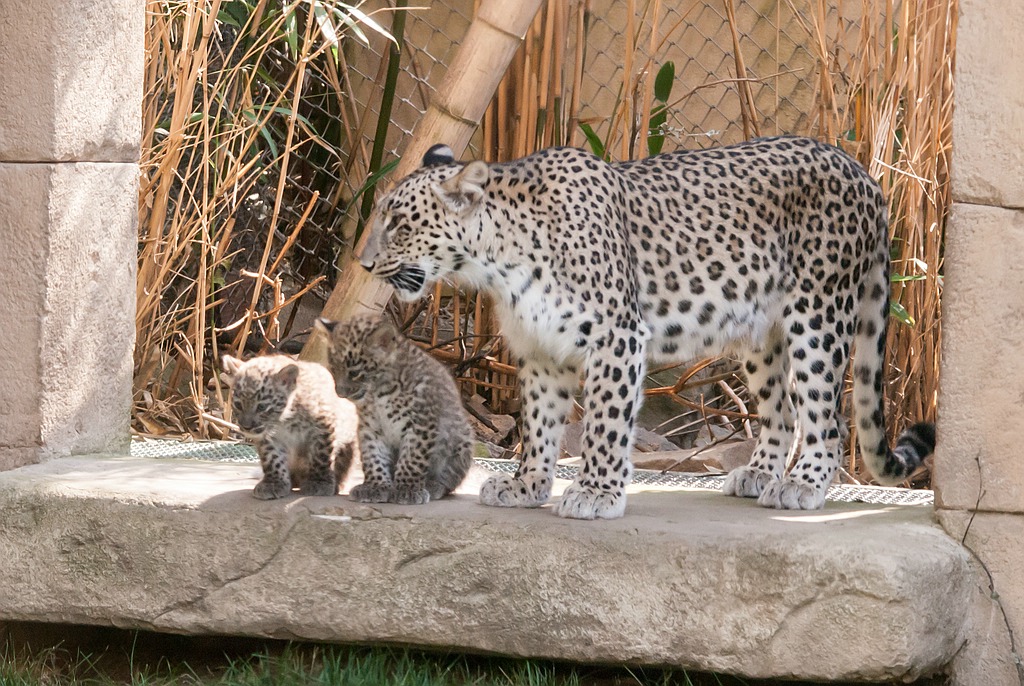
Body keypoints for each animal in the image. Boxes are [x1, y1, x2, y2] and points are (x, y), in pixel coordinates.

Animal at [221, 354, 359, 499]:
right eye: (238, 404)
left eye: (262, 407)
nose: (246, 427)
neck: (285, 421)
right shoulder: (269, 439)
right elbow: (272, 459)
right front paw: (274, 483)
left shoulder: (323, 429)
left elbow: (320, 456)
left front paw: (319, 482)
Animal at [314, 314, 473, 505]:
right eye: (333, 370)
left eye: (354, 373)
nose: (340, 393)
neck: (377, 393)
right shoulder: (370, 427)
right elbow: (373, 456)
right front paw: (375, 486)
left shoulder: (421, 423)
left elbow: (412, 458)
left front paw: (407, 489)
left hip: (463, 441)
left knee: (450, 480)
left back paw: (432, 485)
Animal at [357, 137, 935, 519]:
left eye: (399, 224)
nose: (363, 266)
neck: (496, 262)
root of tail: (863, 172)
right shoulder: (542, 353)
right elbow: (539, 426)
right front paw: (526, 486)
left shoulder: (616, 338)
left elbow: (605, 424)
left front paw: (596, 493)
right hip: (761, 332)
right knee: (783, 411)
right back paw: (759, 475)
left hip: (818, 313)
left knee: (825, 416)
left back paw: (806, 484)